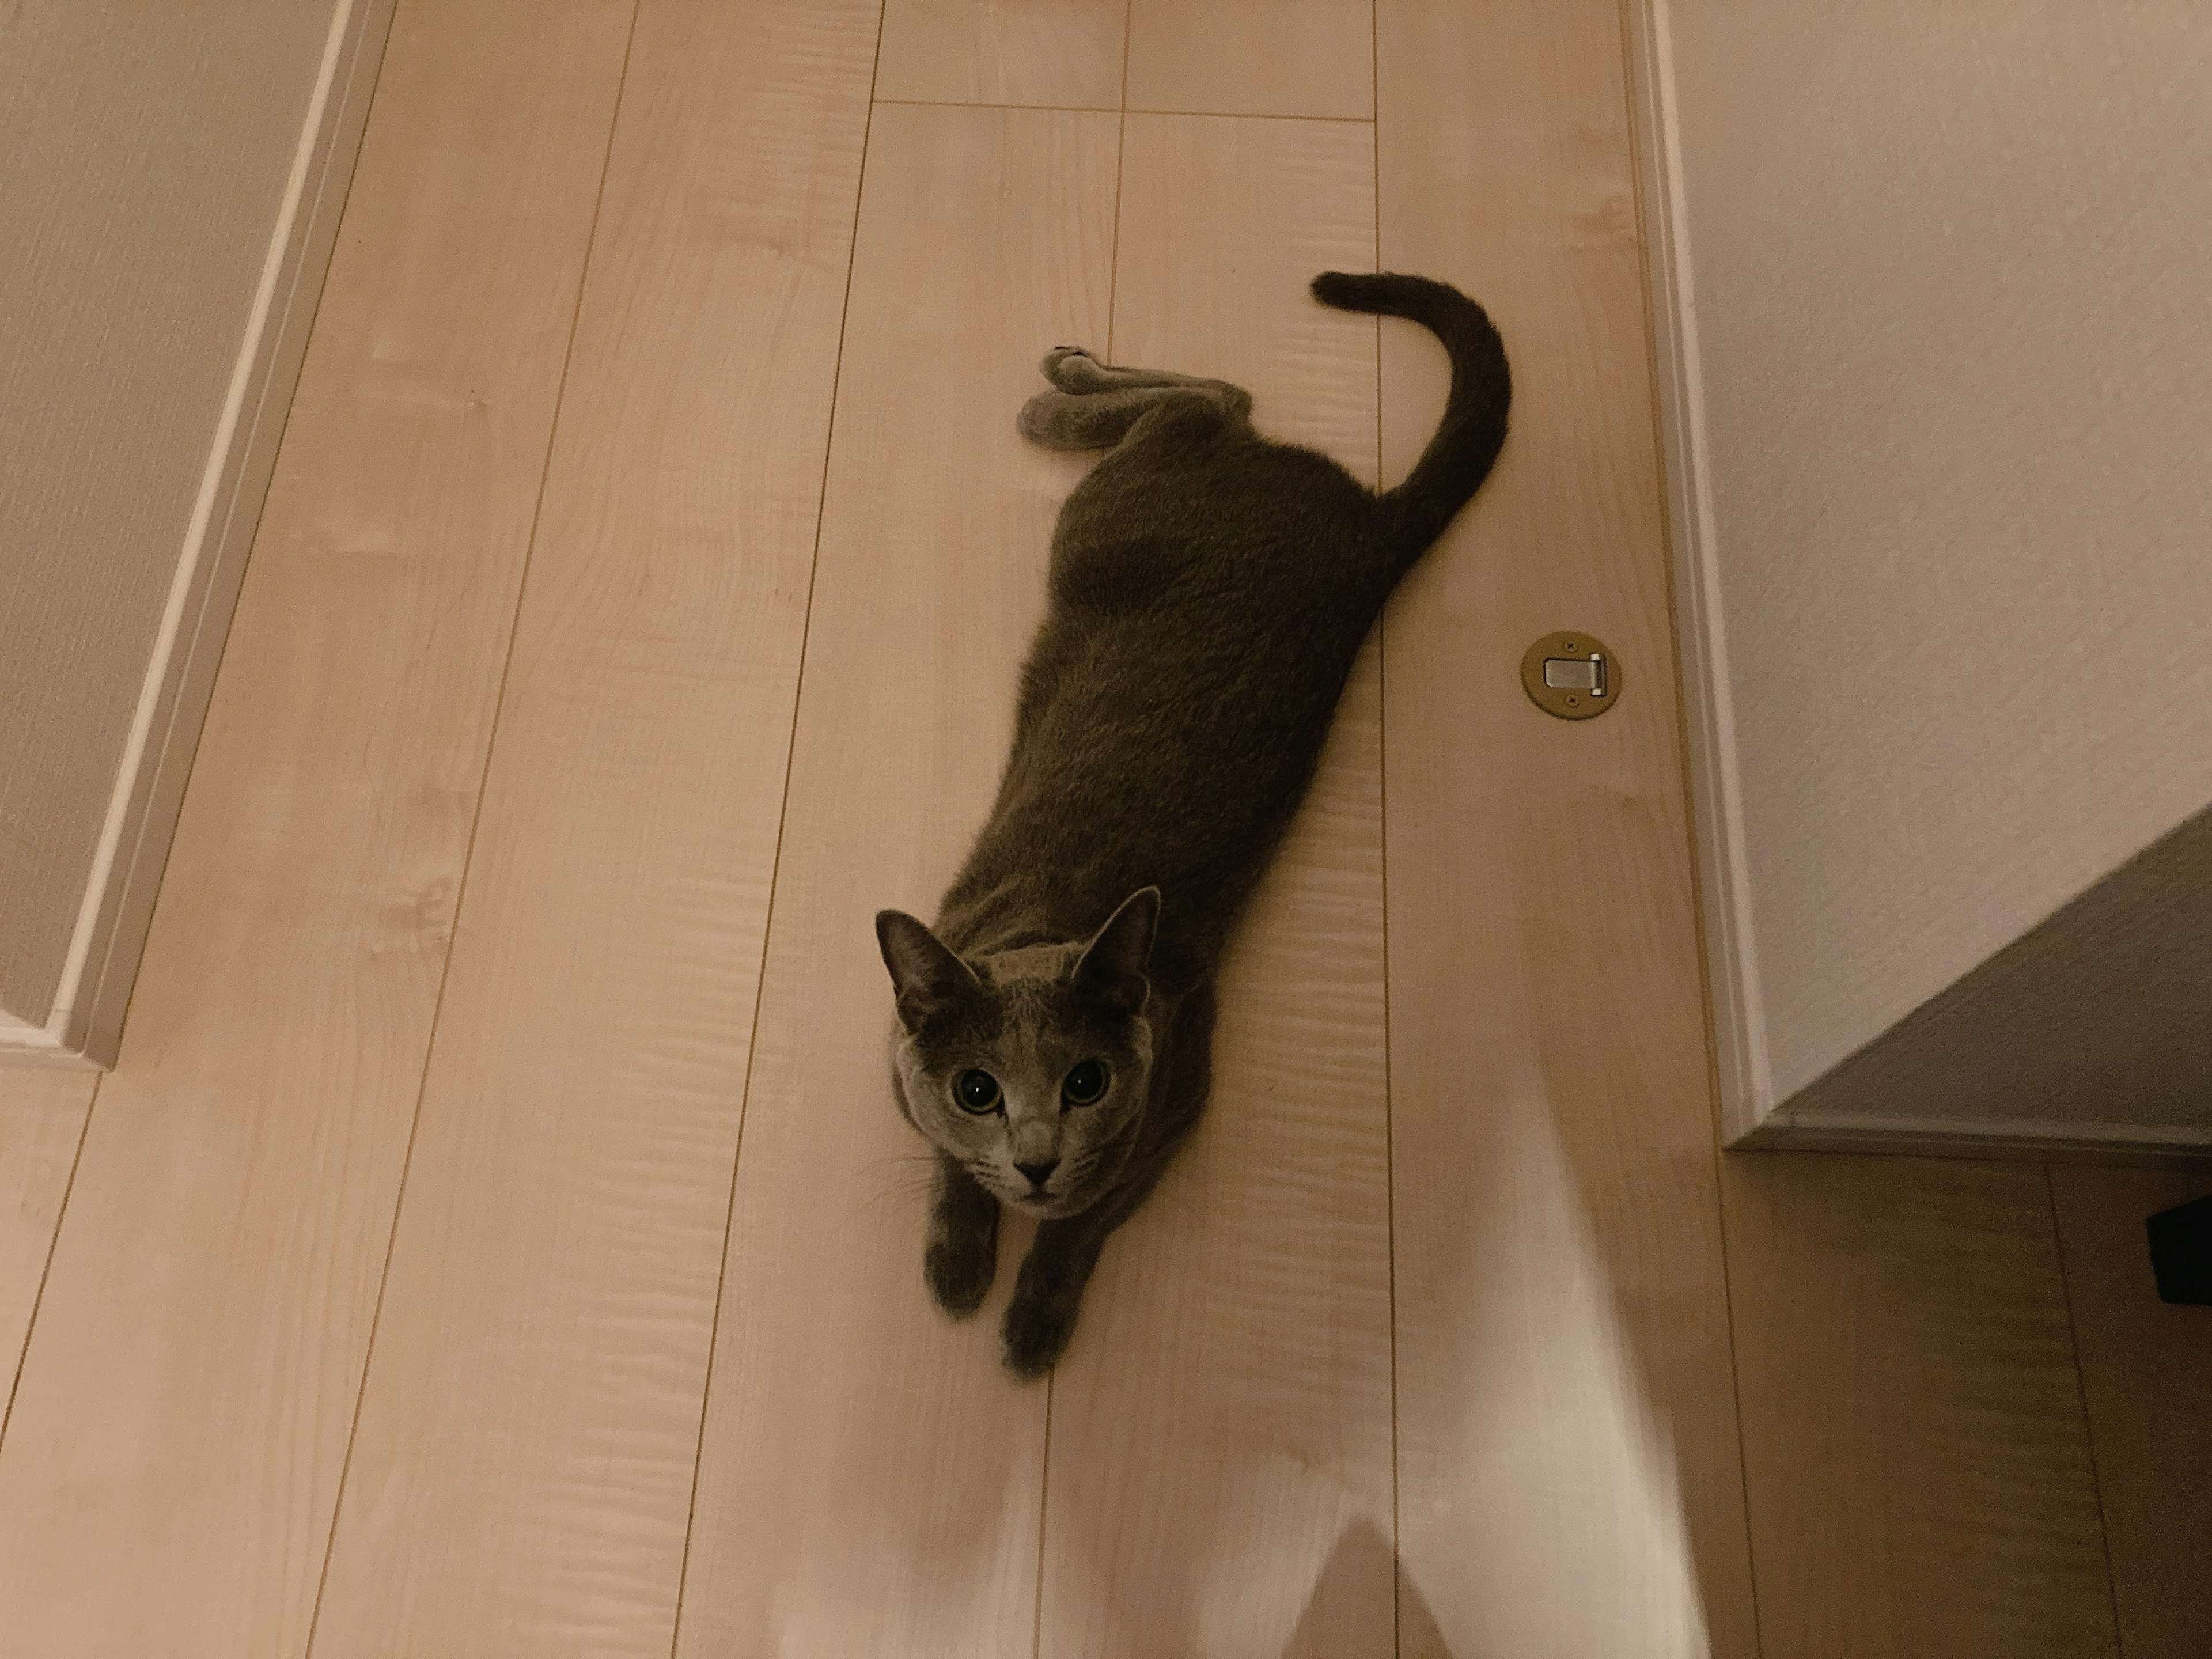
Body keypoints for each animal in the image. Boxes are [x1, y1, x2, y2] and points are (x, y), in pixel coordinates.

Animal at [871, 273, 1513, 1380]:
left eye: (1086, 1082)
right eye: (976, 1089)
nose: (1037, 1160)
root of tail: (1368, 523)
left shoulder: (1177, 1105)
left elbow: (1081, 1226)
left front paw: (1031, 1322)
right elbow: (949, 1165)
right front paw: (957, 1264)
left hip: (1105, 520)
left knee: (1208, 401)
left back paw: (1053, 395)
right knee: (1220, 400)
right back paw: (1060, 383)